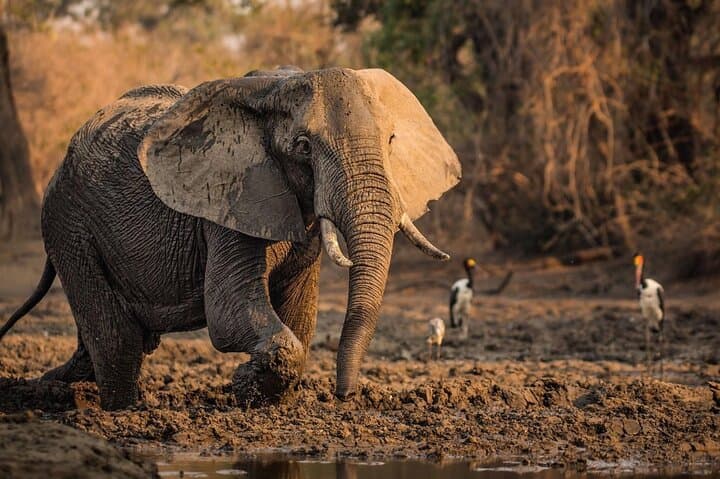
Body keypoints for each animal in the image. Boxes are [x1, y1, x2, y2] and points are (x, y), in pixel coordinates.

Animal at [0, 66, 460, 410]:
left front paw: (270, 400)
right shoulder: (227, 202)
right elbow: (228, 310)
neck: (275, 88)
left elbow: (298, 315)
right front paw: (246, 383)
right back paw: (124, 412)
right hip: (69, 225)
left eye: (391, 140)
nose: (342, 396)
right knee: (117, 342)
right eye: (303, 147)